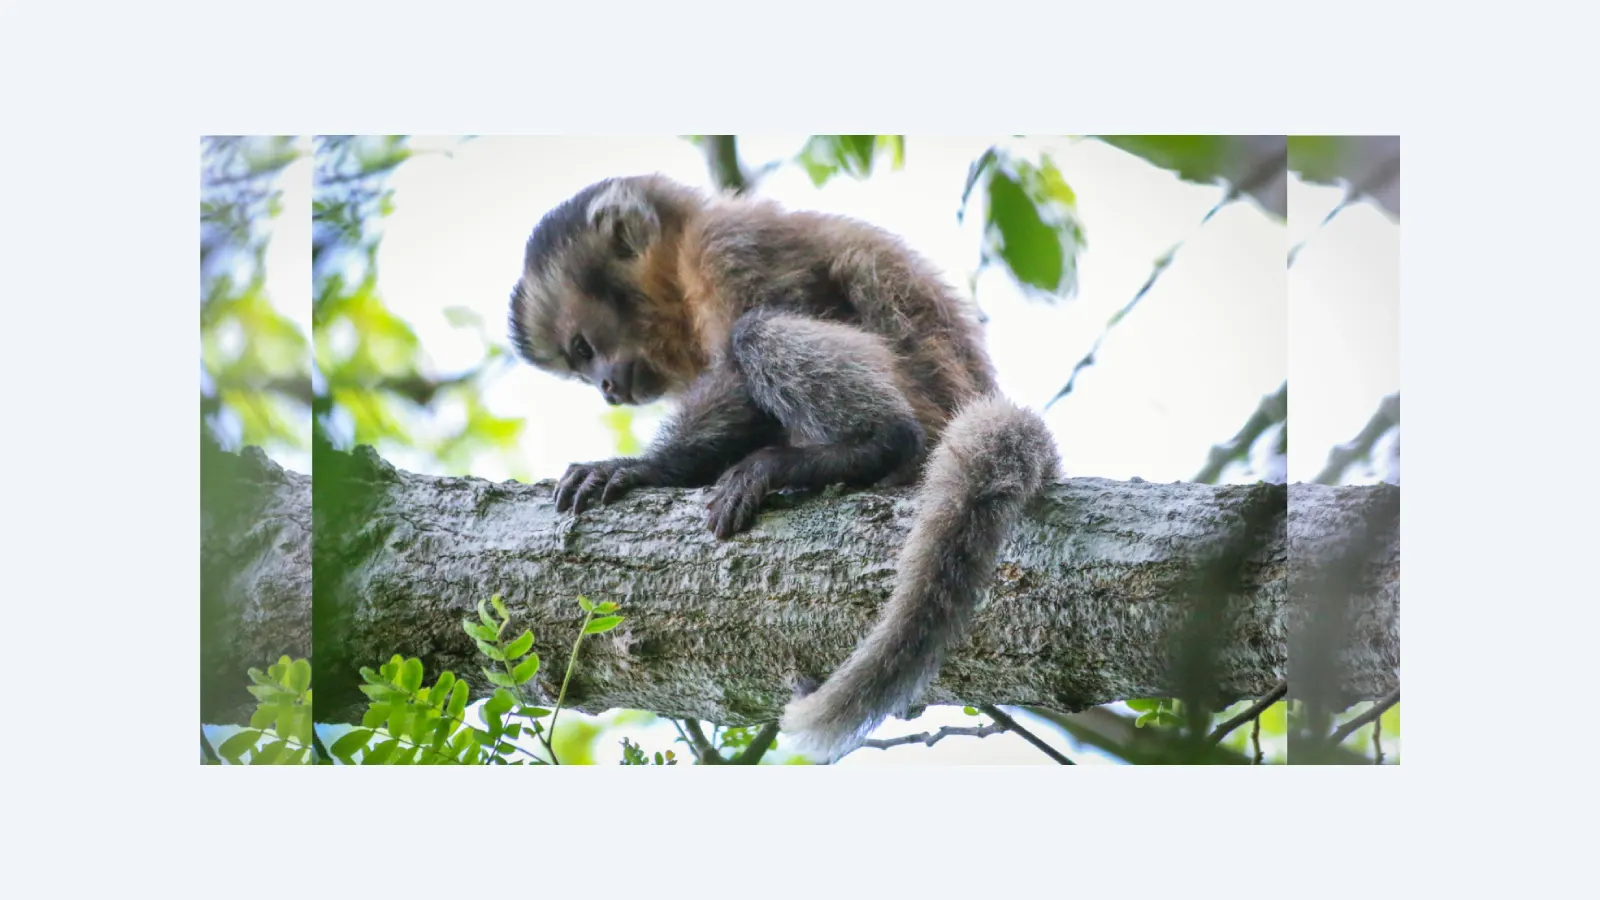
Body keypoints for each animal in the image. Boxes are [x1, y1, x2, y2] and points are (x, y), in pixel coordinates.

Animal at [508, 173, 1059, 762]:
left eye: (584, 348)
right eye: (579, 366)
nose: (607, 389)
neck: (680, 260)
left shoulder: (729, 247)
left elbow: (743, 366)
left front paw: (643, 468)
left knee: (759, 331)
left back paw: (872, 445)